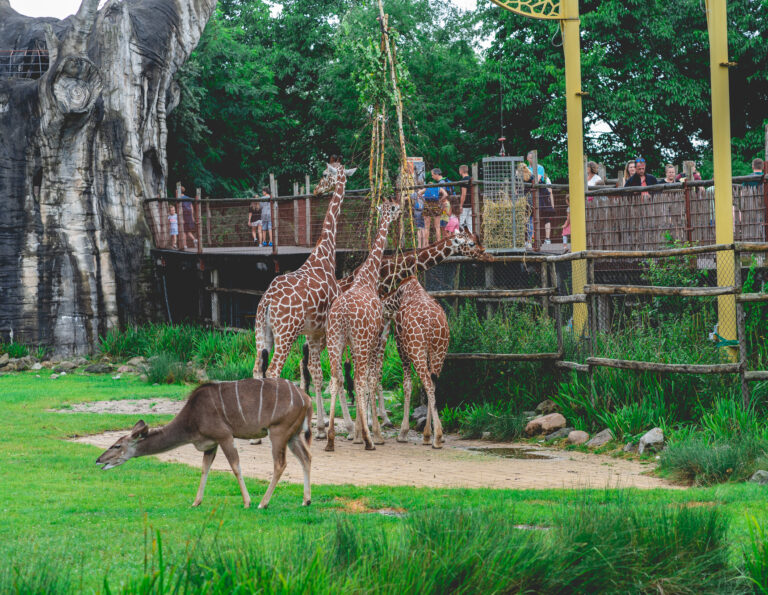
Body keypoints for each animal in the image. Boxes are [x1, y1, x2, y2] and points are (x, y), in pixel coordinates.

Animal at [96, 380, 312, 510]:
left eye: (116, 446)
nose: (98, 460)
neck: (192, 418)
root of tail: (307, 399)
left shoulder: (224, 436)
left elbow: (235, 466)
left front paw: (247, 502)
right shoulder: (210, 445)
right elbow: (204, 469)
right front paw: (196, 502)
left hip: (278, 432)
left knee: (280, 464)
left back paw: (263, 504)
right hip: (293, 435)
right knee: (306, 457)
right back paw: (306, 500)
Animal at [254, 161, 358, 440]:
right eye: (323, 174)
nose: (319, 190)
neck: (324, 254)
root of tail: (267, 301)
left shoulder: (313, 331)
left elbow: (316, 372)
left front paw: (319, 428)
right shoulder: (325, 329)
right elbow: (328, 374)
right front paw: (340, 427)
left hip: (262, 332)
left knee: (258, 369)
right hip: (286, 332)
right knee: (272, 371)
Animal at [322, 203, 402, 454]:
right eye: (394, 207)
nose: (399, 212)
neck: (368, 277)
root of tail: (344, 315)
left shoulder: (351, 343)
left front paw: (357, 432)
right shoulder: (373, 339)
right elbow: (370, 380)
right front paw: (372, 434)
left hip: (334, 339)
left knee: (335, 378)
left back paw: (330, 439)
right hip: (360, 340)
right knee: (358, 380)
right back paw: (369, 441)